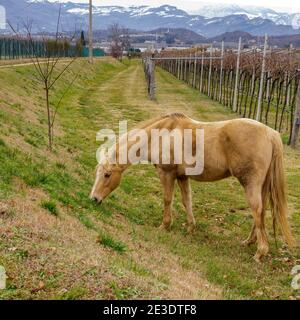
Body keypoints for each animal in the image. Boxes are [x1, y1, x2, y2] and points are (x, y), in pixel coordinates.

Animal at [90, 114, 294, 262]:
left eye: (107, 174)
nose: (94, 199)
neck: (162, 134)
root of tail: (270, 133)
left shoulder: (167, 174)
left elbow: (167, 199)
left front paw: (164, 226)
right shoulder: (182, 177)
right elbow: (186, 200)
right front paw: (190, 227)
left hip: (251, 184)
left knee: (257, 210)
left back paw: (260, 252)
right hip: (262, 186)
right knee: (261, 211)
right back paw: (250, 241)